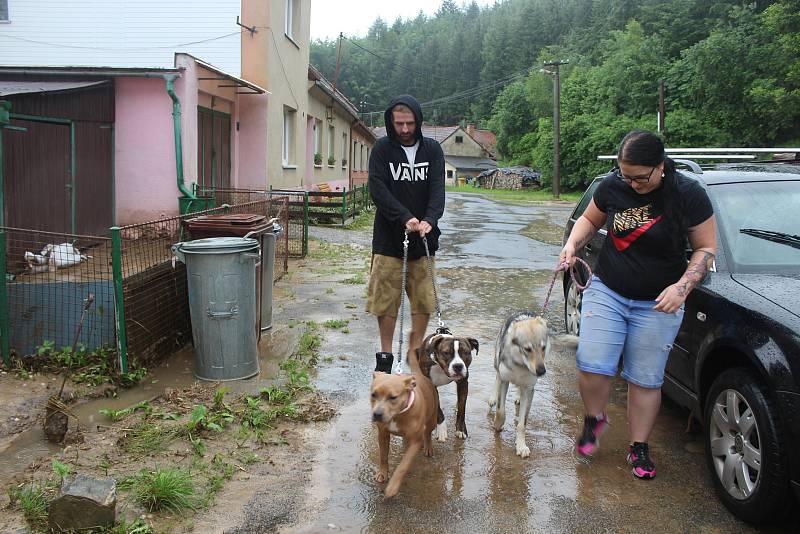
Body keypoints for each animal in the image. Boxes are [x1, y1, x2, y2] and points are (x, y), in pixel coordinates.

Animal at [372, 362, 440, 500]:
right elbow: (383, 456)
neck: (397, 415)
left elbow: (403, 465)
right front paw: (382, 474)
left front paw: (393, 487)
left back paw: (428, 447)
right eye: (373, 395)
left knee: (428, 434)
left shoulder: (416, 441)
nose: (377, 414)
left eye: (393, 397)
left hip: (432, 420)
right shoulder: (383, 435)